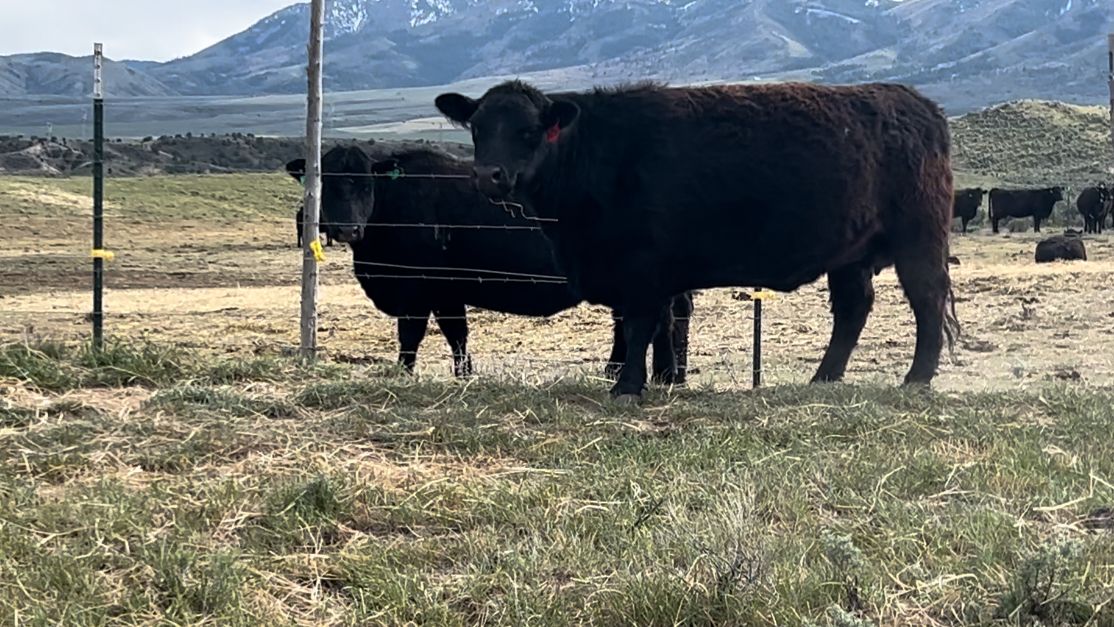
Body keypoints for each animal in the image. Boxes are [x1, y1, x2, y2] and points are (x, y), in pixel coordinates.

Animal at [285, 146, 694, 381]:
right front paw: (464, 374)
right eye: (325, 185)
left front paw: (403, 372)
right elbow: (457, 334)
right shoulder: (447, 293)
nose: (347, 228)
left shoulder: (417, 290)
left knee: (658, 321)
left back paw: (661, 374)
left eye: (366, 184)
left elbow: (411, 335)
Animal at [436, 80, 959, 400]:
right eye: (477, 128)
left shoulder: (641, 269)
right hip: (850, 254)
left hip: (919, 238)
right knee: (853, 308)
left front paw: (627, 387)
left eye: (528, 131)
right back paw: (824, 379)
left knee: (927, 301)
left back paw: (916, 379)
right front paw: (656, 381)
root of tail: (917, 103)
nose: (487, 175)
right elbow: (658, 327)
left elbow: (640, 327)